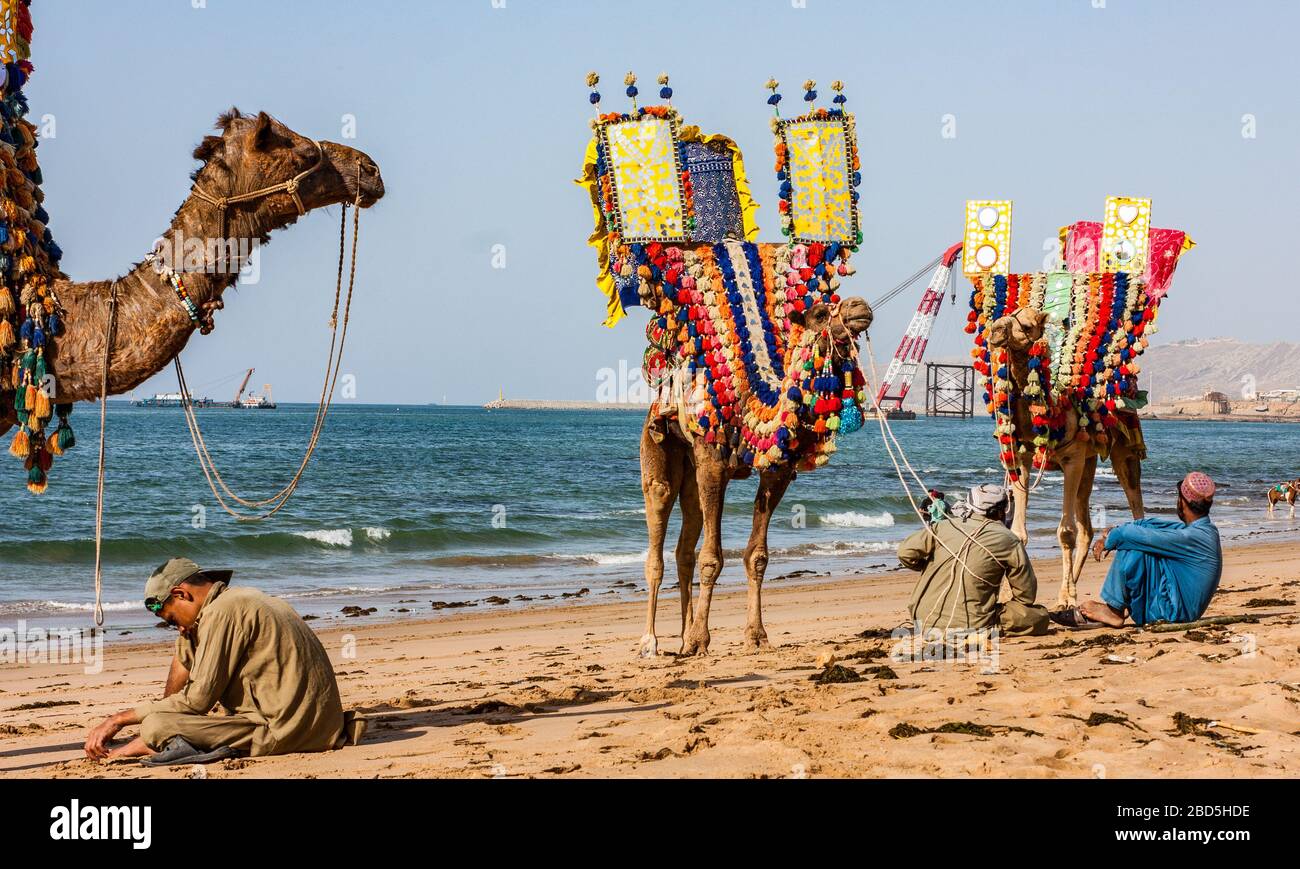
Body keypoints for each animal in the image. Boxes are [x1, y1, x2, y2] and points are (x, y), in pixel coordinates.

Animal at [638, 277, 873, 658]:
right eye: (820, 313)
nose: (860, 306)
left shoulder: (777, 472)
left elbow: (756, 556)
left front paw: (756, 635)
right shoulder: (712, 464)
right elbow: (712, 558)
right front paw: (702, 639)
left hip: (689, 473)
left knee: (684, 544)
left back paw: (683, 640)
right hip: (658, 442)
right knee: (658, 519)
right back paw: (651, 642)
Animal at [984, 307, 1145, 608]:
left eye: (1026, 325)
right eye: (1007, 314)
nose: (996, 330)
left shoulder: (1072, 459)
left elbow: (1065, 532)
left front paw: (1066, 599)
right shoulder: (1023, 460)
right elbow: (1019, 532)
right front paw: (1011, 595)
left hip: (1125, 450)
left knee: (1134, 502)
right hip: (1091, 462)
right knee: (1087, 527)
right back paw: (1071, 588)